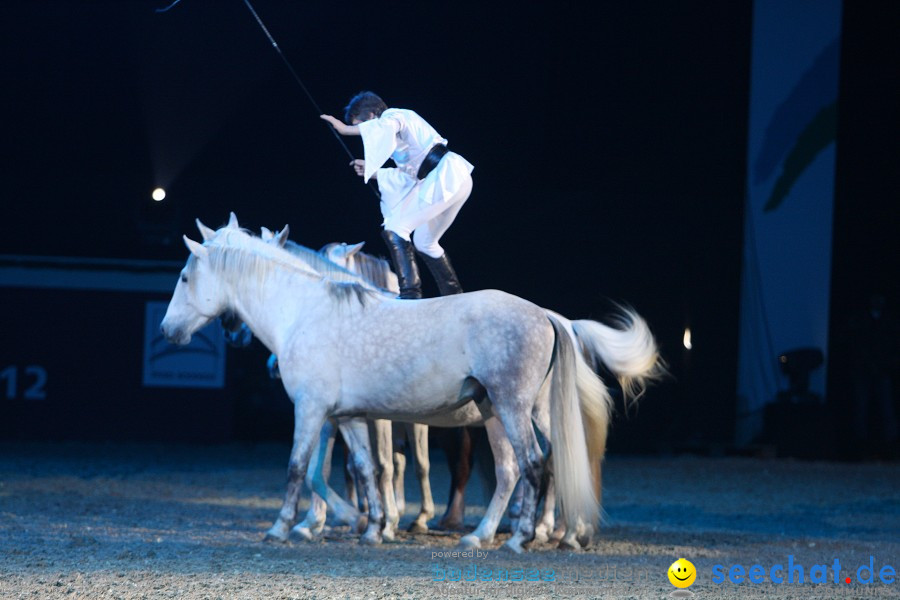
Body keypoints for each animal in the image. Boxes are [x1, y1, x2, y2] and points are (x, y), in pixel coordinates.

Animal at [163, 216, 612, 552]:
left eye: (184, 277)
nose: (168, 330)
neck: (302, 311)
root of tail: (547, 316)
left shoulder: (311, 410)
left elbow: (301, 468)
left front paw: (283, 527)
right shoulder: (347, 417)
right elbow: (364, 468)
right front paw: (371, 526)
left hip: (511, 408)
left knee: (533, 463)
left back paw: (521, 538)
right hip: (512, 411)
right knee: (530, 466)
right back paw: (529, 534)